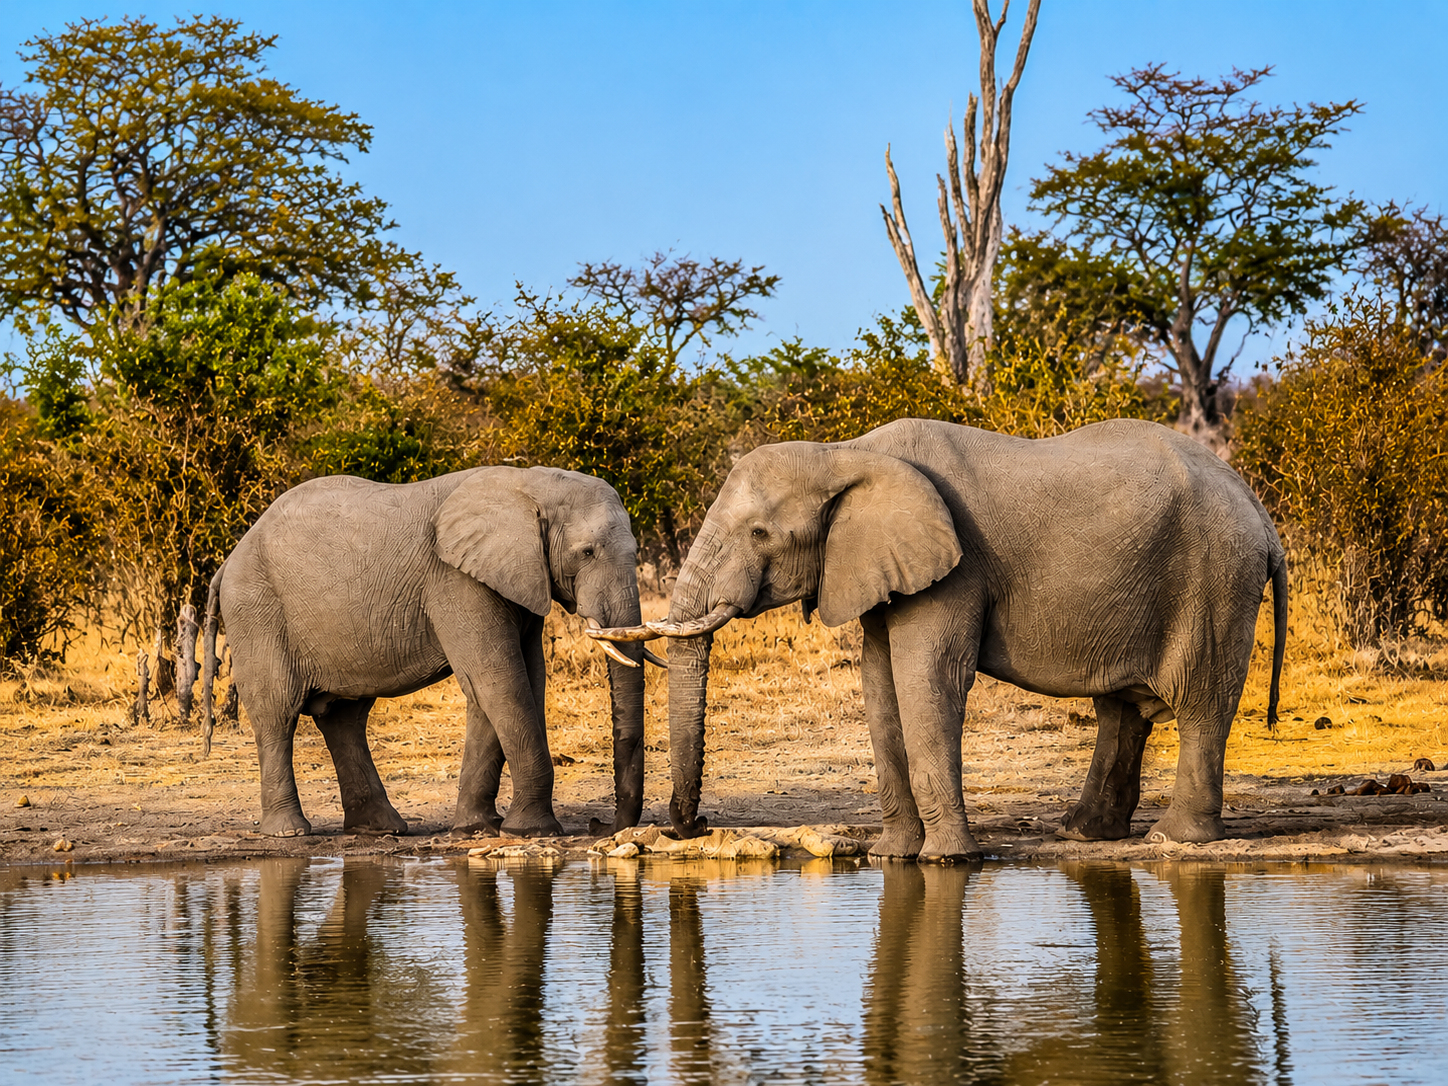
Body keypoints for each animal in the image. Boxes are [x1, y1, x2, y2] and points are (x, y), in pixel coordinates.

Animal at [201, 465, 660, 839]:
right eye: (587, 552)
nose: (602, 825)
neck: (529, 484)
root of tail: (228, 560)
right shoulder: (456, 581)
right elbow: (500, 683)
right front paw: (531, 832)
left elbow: (513, 684)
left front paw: (479, 828)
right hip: (256, 609)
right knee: (277, 714)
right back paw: (290, 833)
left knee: (344, 718)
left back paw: (381, 829)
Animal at [591, 417, 1286, 861]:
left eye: (760, 534)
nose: (693, 827)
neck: (847, 453)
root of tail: (1257, 508)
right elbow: (879, 683)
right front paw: (891, 857)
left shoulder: (955, 568)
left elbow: (927, 677)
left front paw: (947, 861)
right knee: (1123, 709)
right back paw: (1083, 835)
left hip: (1215, 579)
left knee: (1199, 703)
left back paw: (1174, 839)